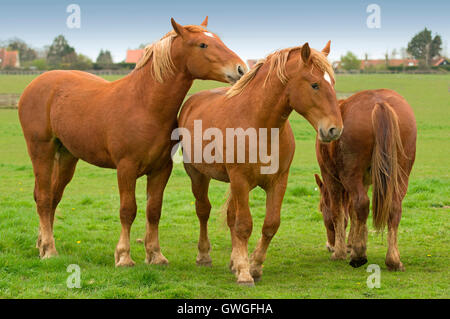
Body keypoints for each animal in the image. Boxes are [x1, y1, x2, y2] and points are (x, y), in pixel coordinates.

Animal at [17, 17, 246, 268]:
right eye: (203, 44)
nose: (241, 69)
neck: (144, 104)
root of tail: (36, 83)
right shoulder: (126, 168)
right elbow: (128, 210)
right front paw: (124, 256)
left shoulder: (160, 169)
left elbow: (153, 210)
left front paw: (155, 254)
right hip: (41, 151)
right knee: (44, 198)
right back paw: (49, 249)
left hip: (67, 156)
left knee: (53, 197)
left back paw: (41, 244)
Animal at [178, 41, 342, 286]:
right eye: (315, 84)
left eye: (332, 82)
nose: (334, 129)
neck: (260, 125)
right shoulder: (240, 181)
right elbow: (244, 225)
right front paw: (245, 273)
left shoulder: (278, 182)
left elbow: (270, 225)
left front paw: (253, 265)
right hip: (198, 175)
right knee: (203, 211)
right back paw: (204, 256)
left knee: (230, 217)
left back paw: (234, 261)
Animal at [314, 89, 416, 272]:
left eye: (321, 209)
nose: (329, 245)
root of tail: (379, 102)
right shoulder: (366, 181)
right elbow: (353, 214)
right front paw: (352, 242)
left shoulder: (331, 178)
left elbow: (339, 212)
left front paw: (341, 251)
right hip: (401, 174)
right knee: (394, 207)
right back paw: (393, 260)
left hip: (350, 176)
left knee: (361, 203)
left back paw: (358, 255)